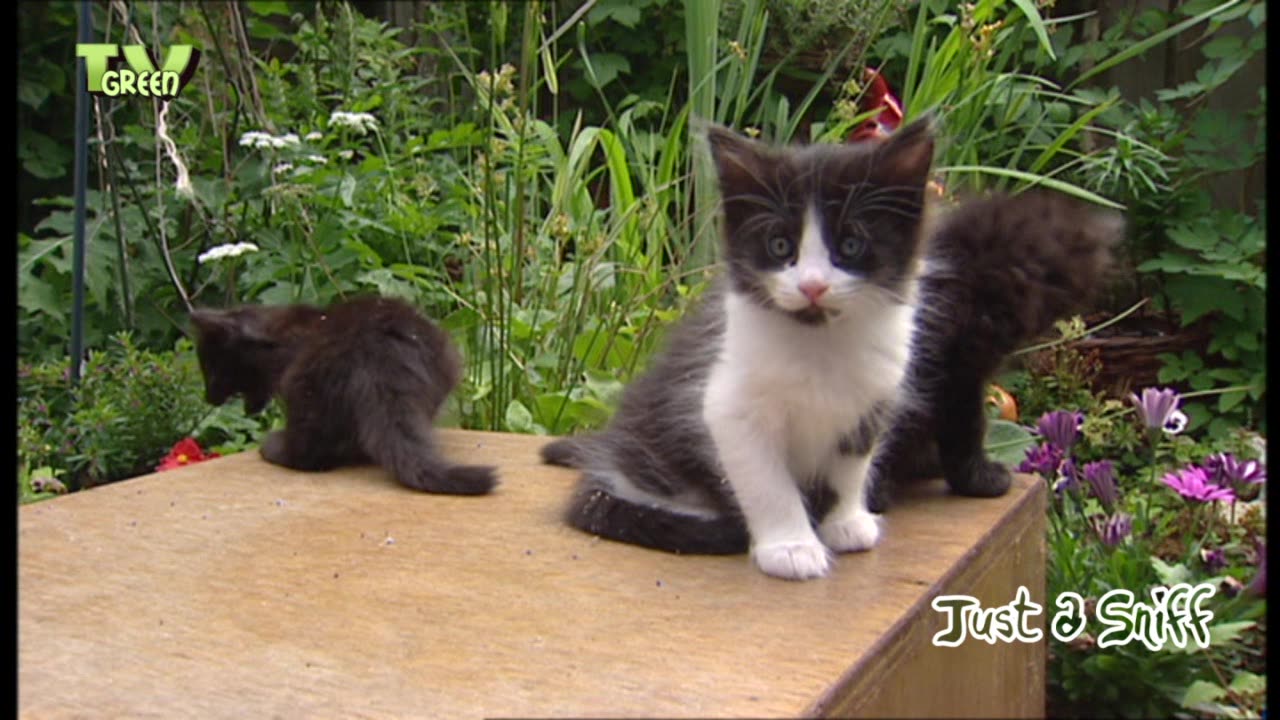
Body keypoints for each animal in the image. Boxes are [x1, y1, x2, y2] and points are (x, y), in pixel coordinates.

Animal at [189, 293, 494, 491]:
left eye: (212, 370)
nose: (208, 397)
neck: (280, 339)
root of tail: (374, 352)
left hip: (303, 388)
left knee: (309, 454)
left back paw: (274, 447)